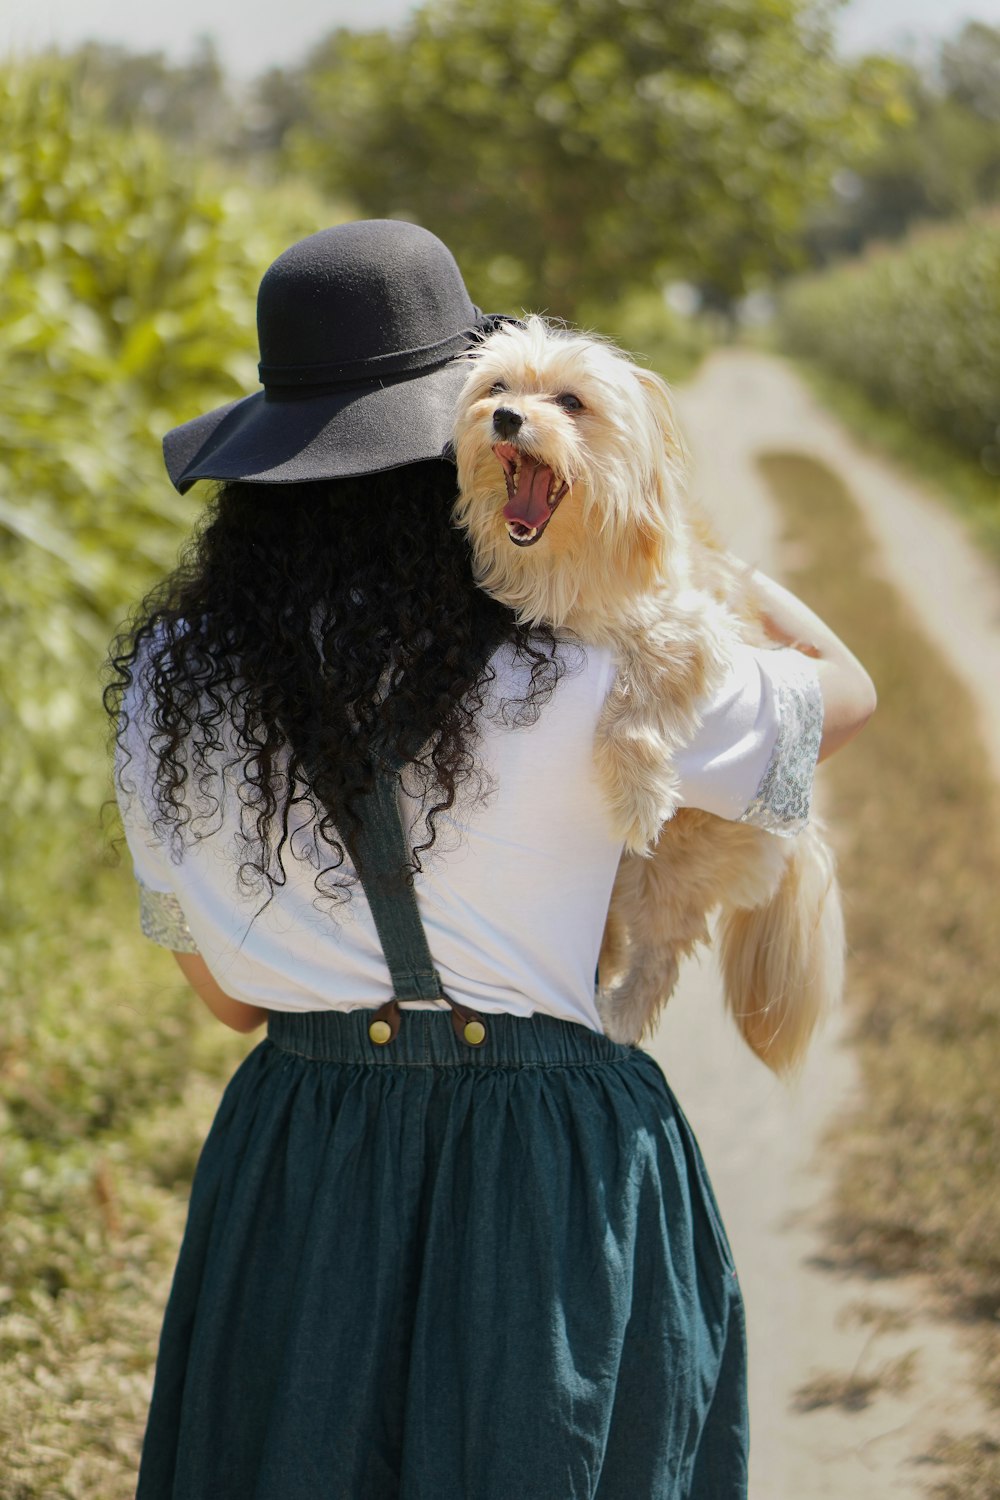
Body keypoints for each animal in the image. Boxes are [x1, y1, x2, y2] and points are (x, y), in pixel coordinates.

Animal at [452, 316, 845, 1074]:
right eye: (497, 387)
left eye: (570, 402)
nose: (507, 417)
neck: (566, 572)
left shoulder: (695, 628)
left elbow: (637, 696)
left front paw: (637, 792)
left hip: (671, 871)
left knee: (663, 953)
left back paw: (619, 1017)